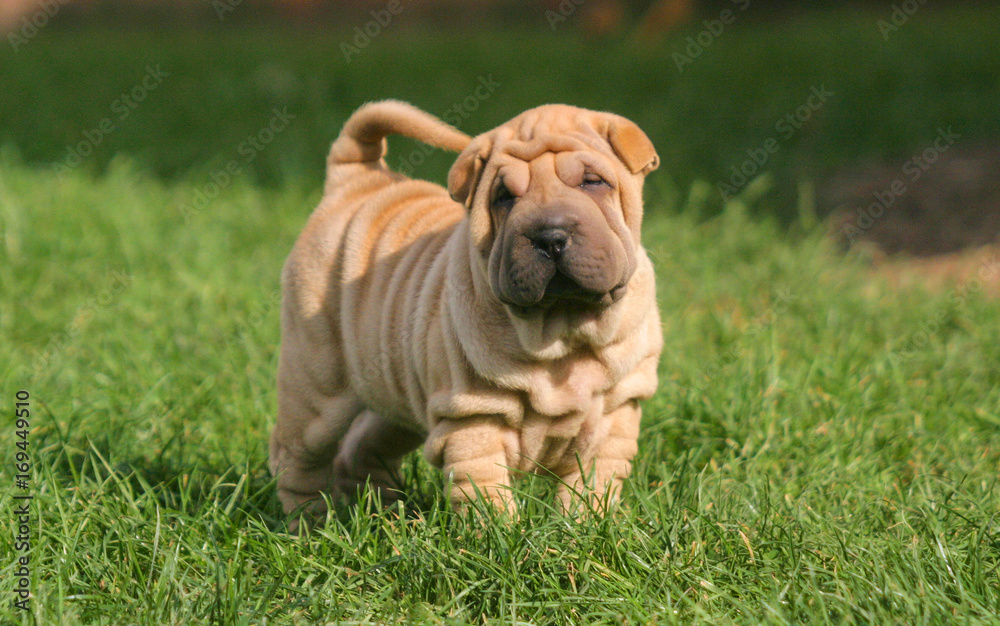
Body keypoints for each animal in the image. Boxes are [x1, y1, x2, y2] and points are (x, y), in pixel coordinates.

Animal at [270, 98, 664, 516]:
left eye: (593, 182)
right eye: (503, 196)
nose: (550, 236)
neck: (561, 327)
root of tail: (355, 179)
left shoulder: (615, 415)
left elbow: (592, 485)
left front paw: (585, 524)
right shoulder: (474, 417)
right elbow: (484, 490)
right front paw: (499, 531)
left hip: (395, 392)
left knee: (365, 446)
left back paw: (384, 513)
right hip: (315, 390)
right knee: (298, 459)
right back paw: (310, 520)